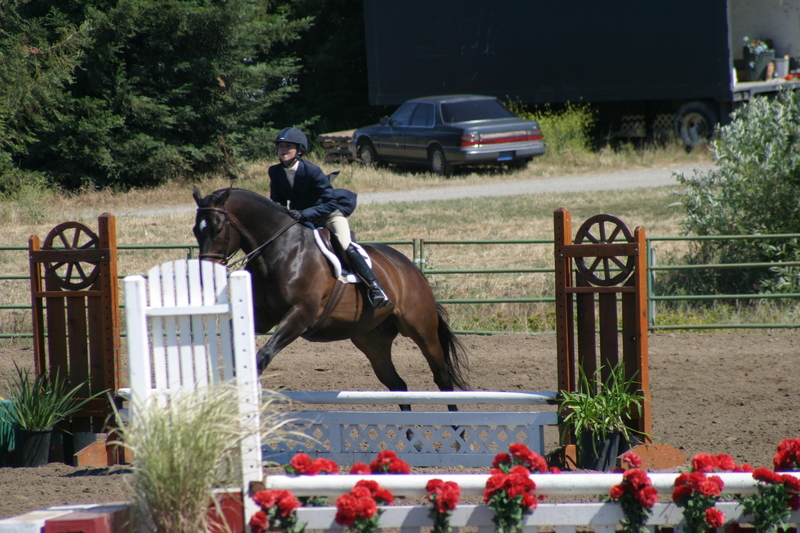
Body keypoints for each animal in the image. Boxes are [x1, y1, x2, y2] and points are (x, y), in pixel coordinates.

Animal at [192, 187, 469, 408]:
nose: (205, 274)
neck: (278, 252)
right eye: (196, 230)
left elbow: (263, 356)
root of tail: (411, 268)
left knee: (442, 379)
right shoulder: (262, 318)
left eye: (217, 228)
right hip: (372, 339)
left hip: (421, 328)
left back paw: (457, 435)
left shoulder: (300, 317)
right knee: (397, 385)